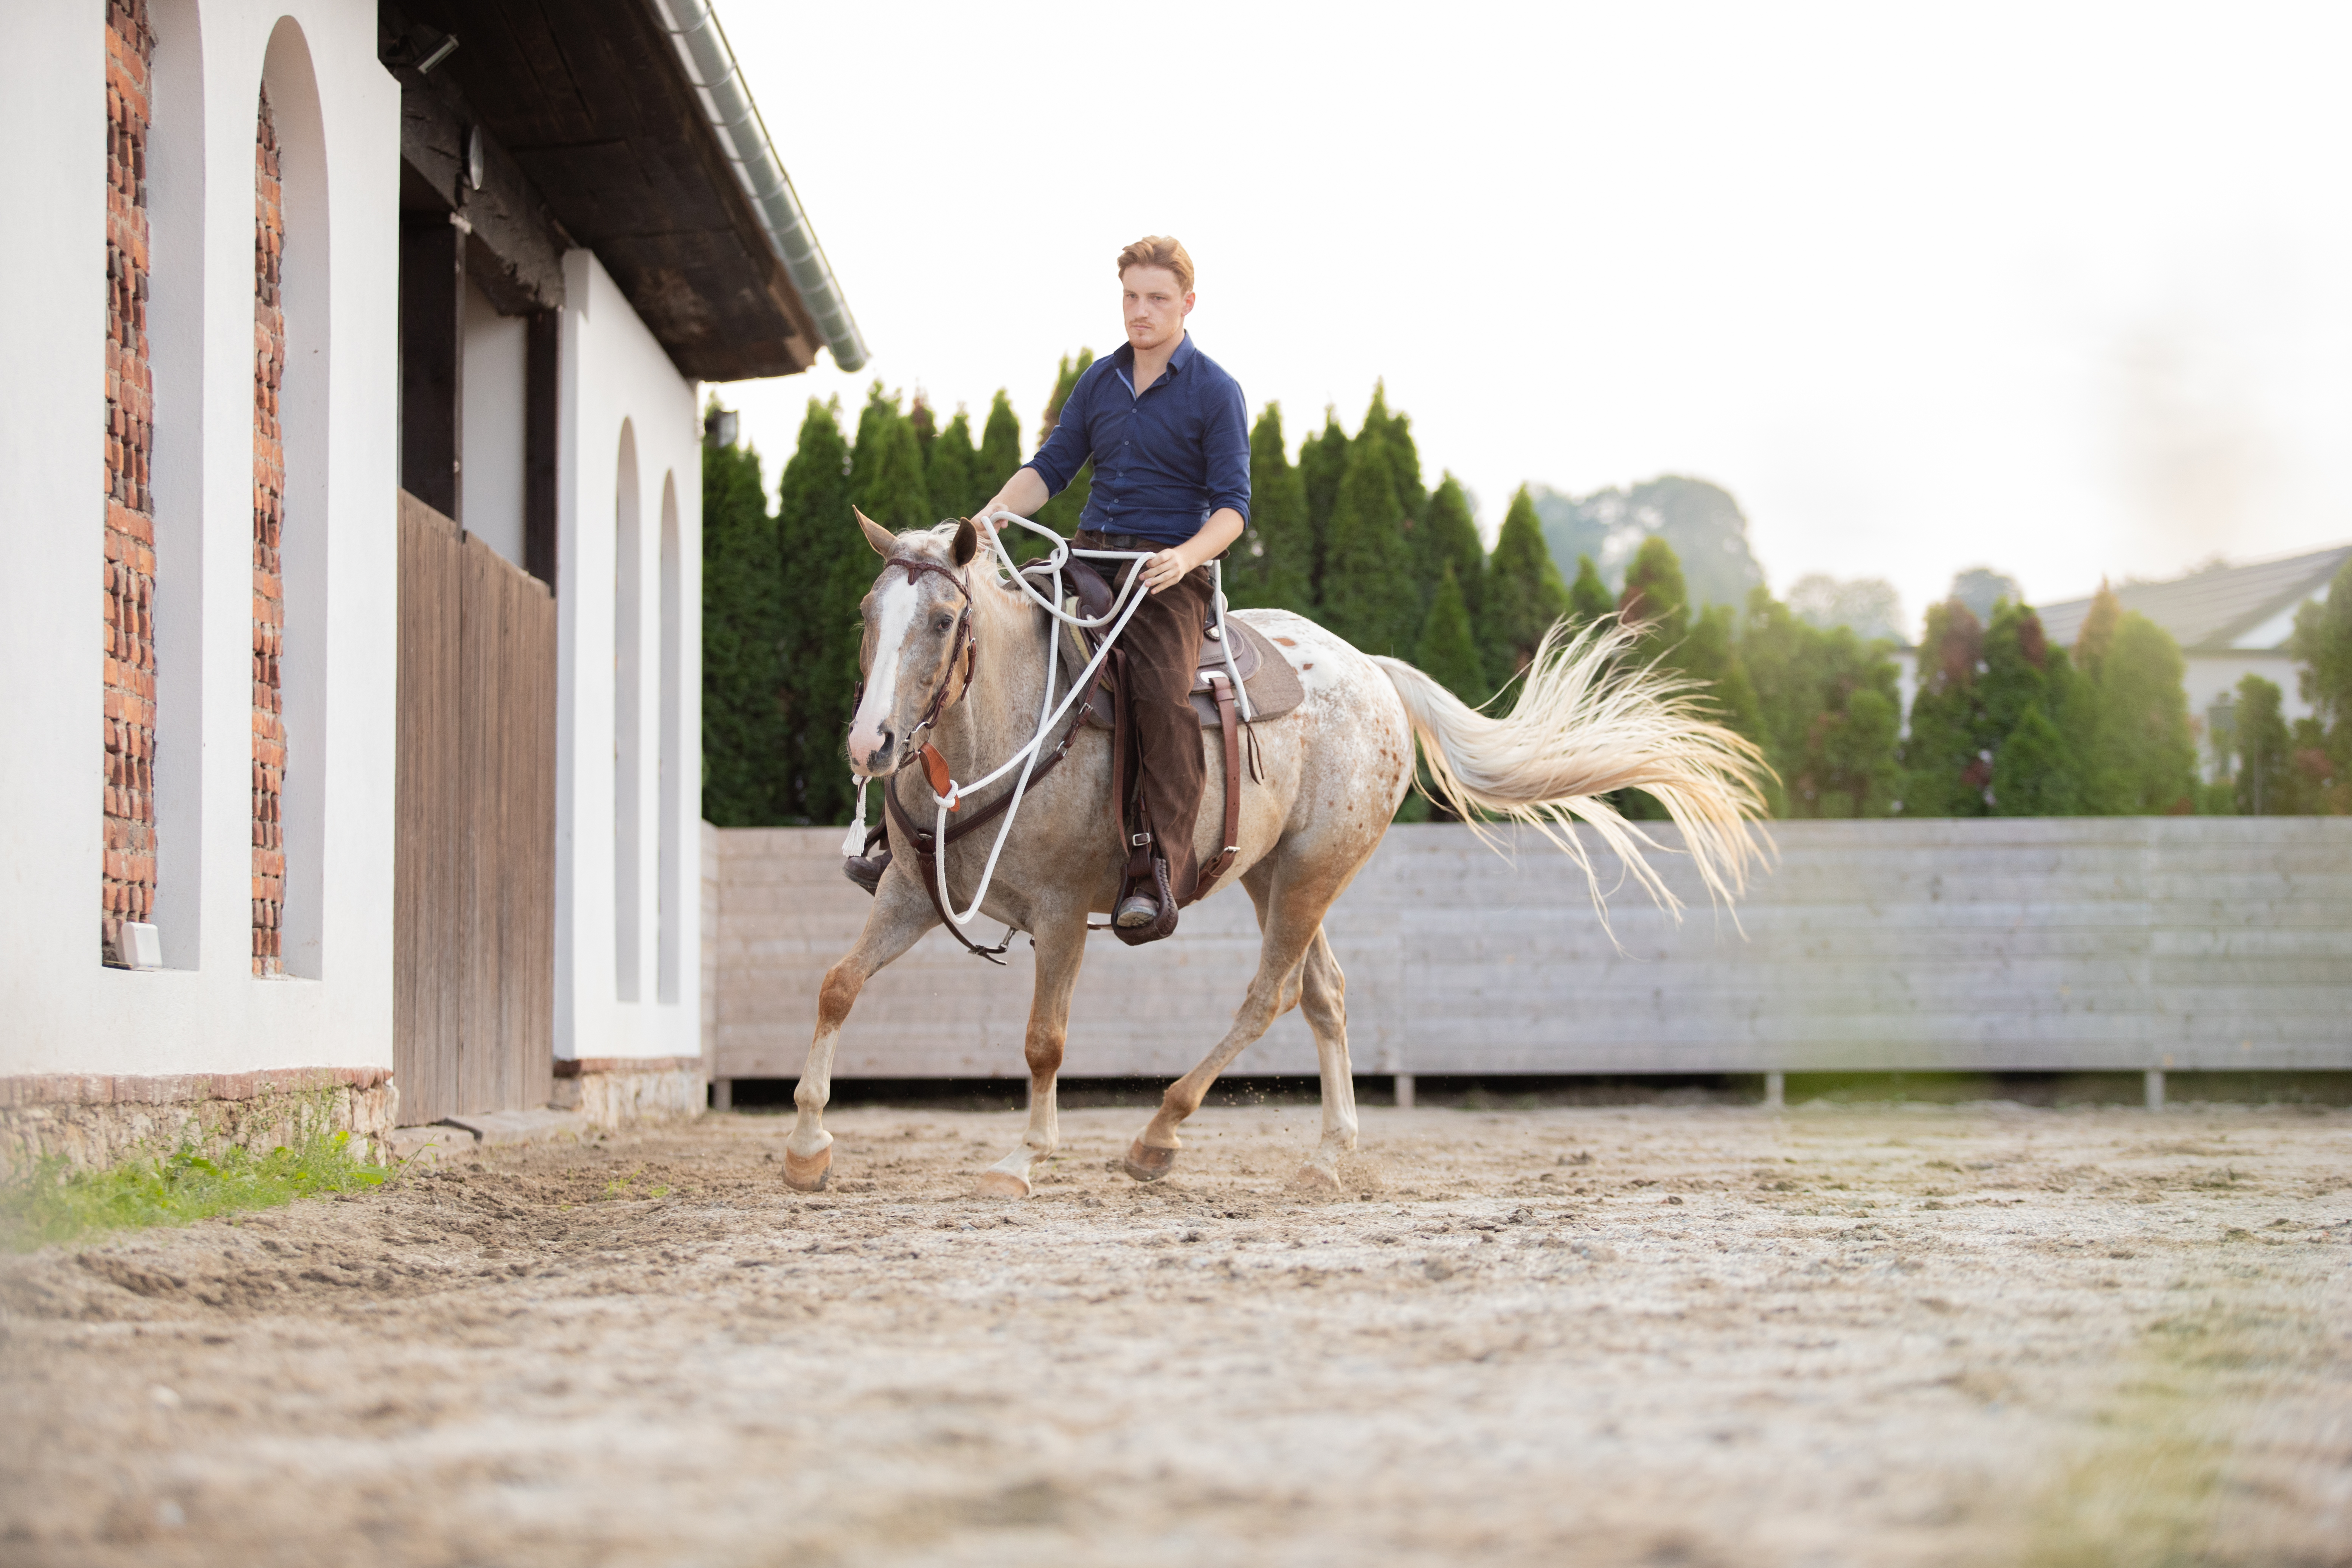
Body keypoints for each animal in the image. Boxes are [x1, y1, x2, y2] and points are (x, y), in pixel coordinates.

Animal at [779, 510, 1772, 1197]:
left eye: (945, 618)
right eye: (869, 611)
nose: (871, 743)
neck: (1012, 721)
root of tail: (1372, 671)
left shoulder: (1061, 915)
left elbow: (1043, 1040)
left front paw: (1022, 1160)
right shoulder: (910, 892)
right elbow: (834, 985)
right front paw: (806, 1146)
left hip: (1313, 869)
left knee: (1275, 993)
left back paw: (1158, 1135)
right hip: (1271, 872)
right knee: (1325, 994)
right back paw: (1327, 1156)